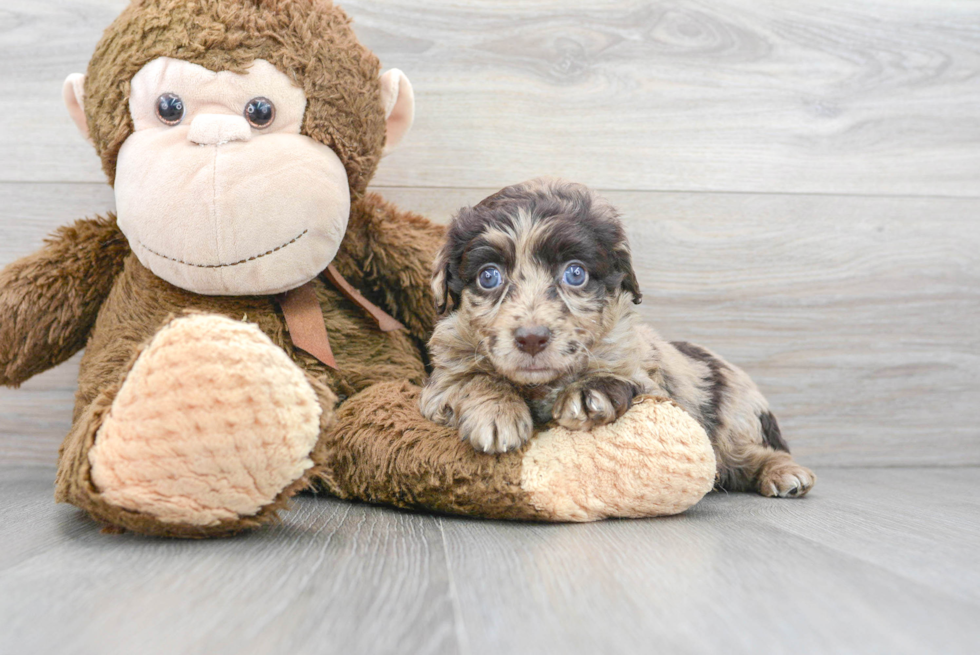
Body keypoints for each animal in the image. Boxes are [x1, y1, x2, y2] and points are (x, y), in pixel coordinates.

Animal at [424, 179, 816, 498]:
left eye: (575, 273)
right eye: (488, 276)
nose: (532, 339)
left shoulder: (653, 388)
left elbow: (620, 379)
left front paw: (586, 394)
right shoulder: (437, 388)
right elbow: (472, 378)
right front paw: (497, 412)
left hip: (731, 423)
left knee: (750, 454)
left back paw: (784, 473)